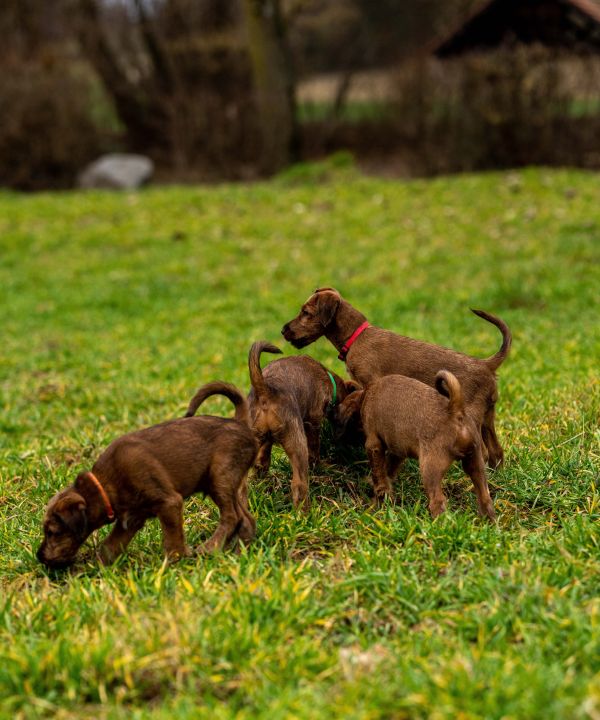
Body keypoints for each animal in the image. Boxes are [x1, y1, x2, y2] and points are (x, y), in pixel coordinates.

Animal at [37, 382, 258, 568]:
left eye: (53, 532)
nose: (39, 557)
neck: (105, 486)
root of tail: (239, 422)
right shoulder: (131, 519)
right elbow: (109, 547)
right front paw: (90, 571)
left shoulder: (169, 503)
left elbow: (172, 540)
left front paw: (173, 564)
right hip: (229, 483)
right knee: (246, 519)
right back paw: (237, 554)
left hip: (219, 477)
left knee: (231, 516)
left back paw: (210, 547)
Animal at [244, 342, 356, 506]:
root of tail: (266, 390)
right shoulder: (313, 421)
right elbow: (314, 451)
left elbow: (262, 459)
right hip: (296, 441)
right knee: (299, 484)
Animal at [282, 286, 510, 466]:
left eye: (306, 312)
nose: (283, 330)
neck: (356, 337)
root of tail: (486, 365)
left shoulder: (369, 382)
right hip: (487, 418)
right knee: (496, 452)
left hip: (471, 417)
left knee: (483, 452)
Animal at [336, 372, 494, 516]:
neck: (365, 396)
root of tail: (455, 411)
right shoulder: (397, 451)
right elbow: (389, 469)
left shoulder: (373, 445)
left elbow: (379, 474)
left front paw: (380, 496)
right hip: (475, 463)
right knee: (485, 498)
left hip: (430, 469)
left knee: (437, 501)